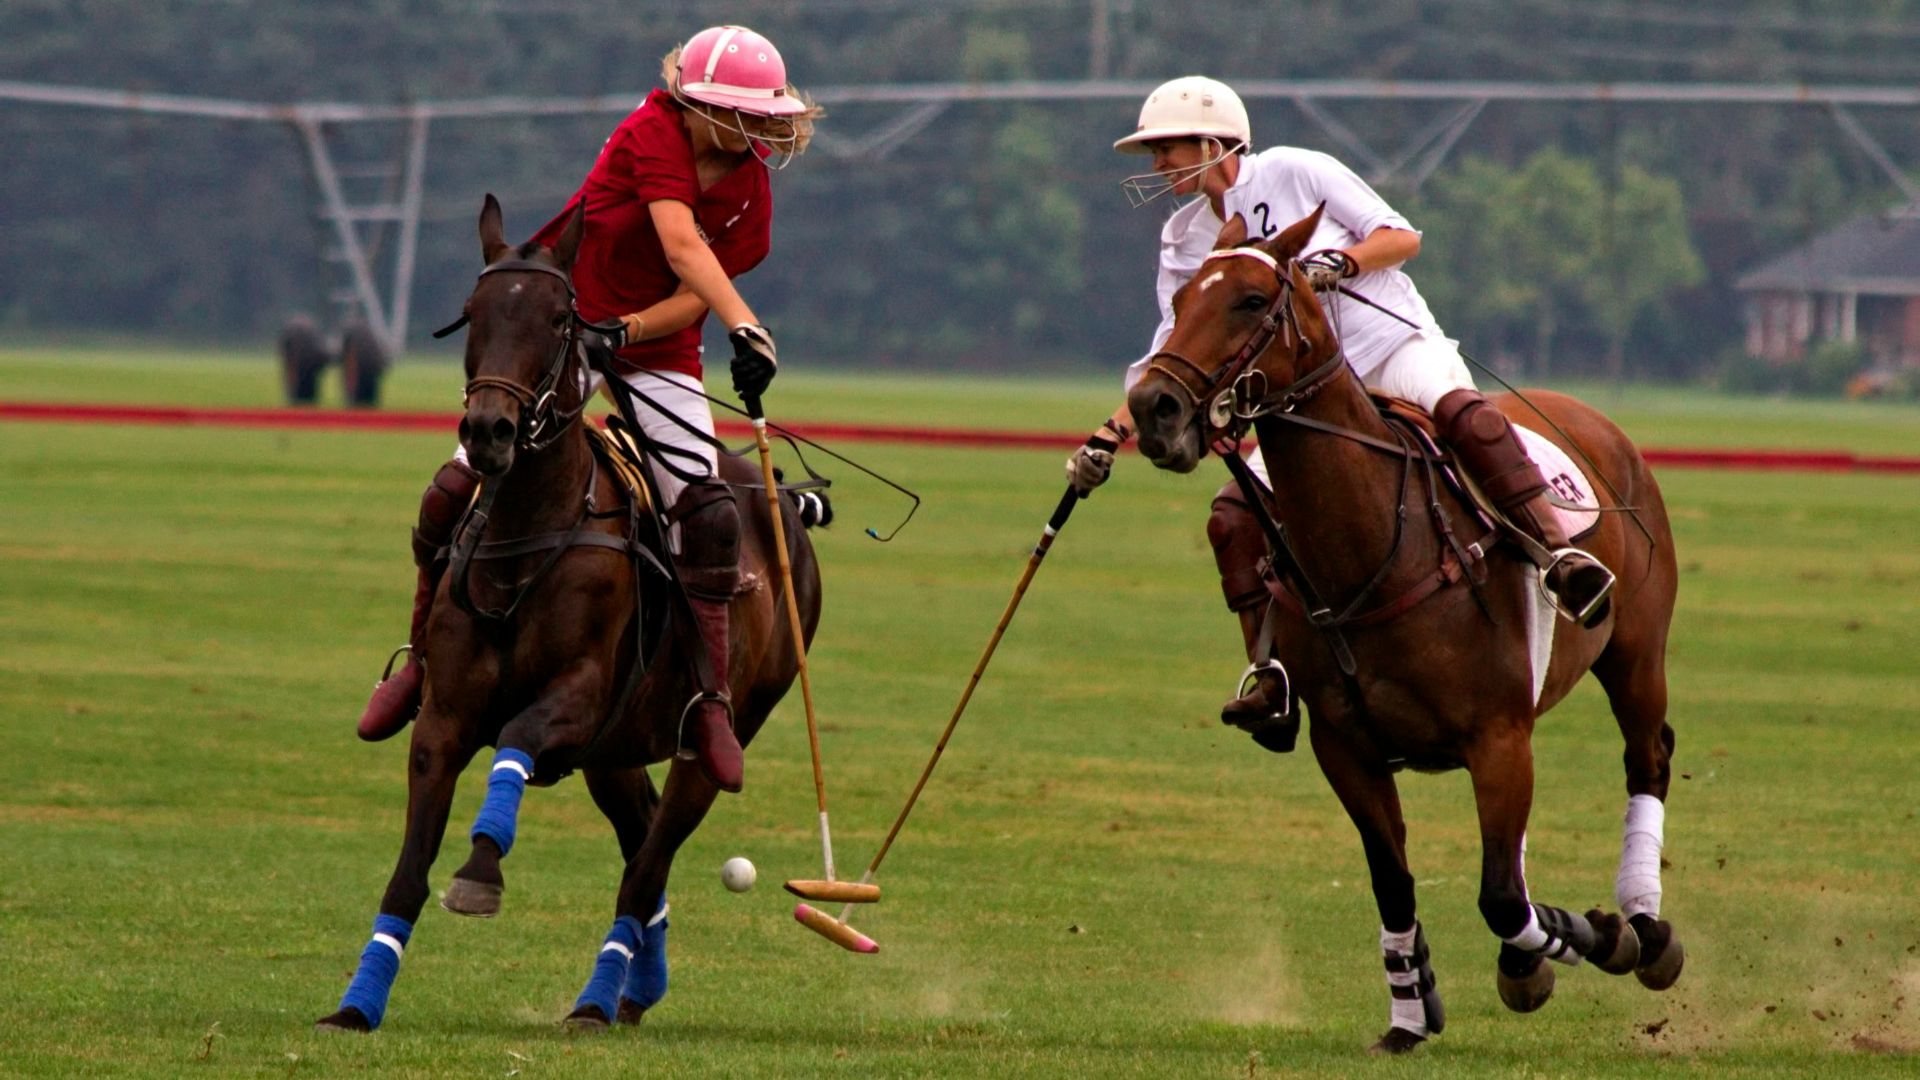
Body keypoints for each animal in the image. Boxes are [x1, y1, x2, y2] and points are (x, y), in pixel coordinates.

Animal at [1126, 206, 1682, 1054]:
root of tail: (1592, 419)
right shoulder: (1347, 747)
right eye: (1183, 296)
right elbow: (1397, 881)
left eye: (1252, 300)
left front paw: (1592, 936)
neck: (1375, 550)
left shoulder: (1495, 735)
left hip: (1635, 653)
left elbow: (1500, 897)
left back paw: (1645, 928)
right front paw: (1411, 1013)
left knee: (1646, 759)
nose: (1154, 407)